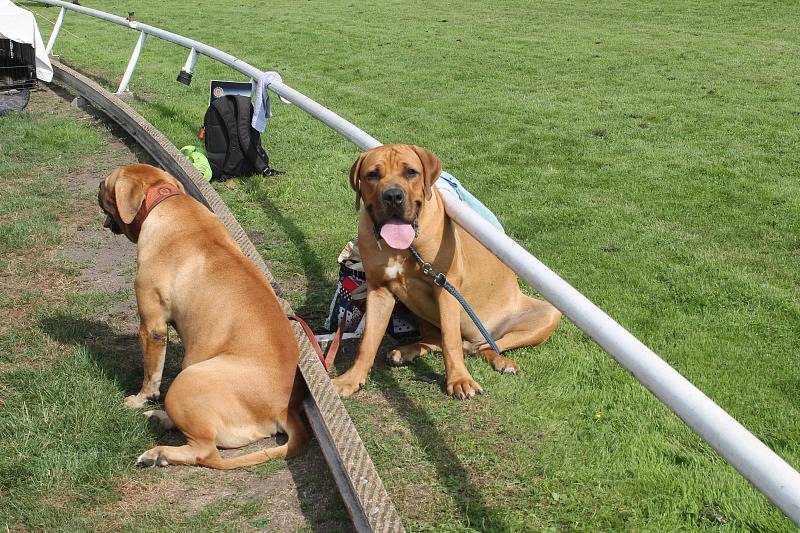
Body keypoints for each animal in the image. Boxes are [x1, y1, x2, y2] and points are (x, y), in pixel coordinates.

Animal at [97, 164, 310, 468]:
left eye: (105, 185)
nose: (96, 188)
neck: (165, 201)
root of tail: (284, 408)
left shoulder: (152, 325)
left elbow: (151, 374)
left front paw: (140, 399)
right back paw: (160, 421)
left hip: (186, 381)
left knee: (206, 452)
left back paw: (158, 452)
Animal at [332, 145, 564, 400]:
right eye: (372, 174)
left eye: (410, 172)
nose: (393, 196)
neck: (405, 247)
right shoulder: (379, 289)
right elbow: (367, 341)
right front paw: (351, 379)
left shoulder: (445, 287)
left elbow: (450, 340)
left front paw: (460, 380)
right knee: (441, 339)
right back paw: (406, 351)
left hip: (549, 313)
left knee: (483, 346)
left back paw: (502, 361)